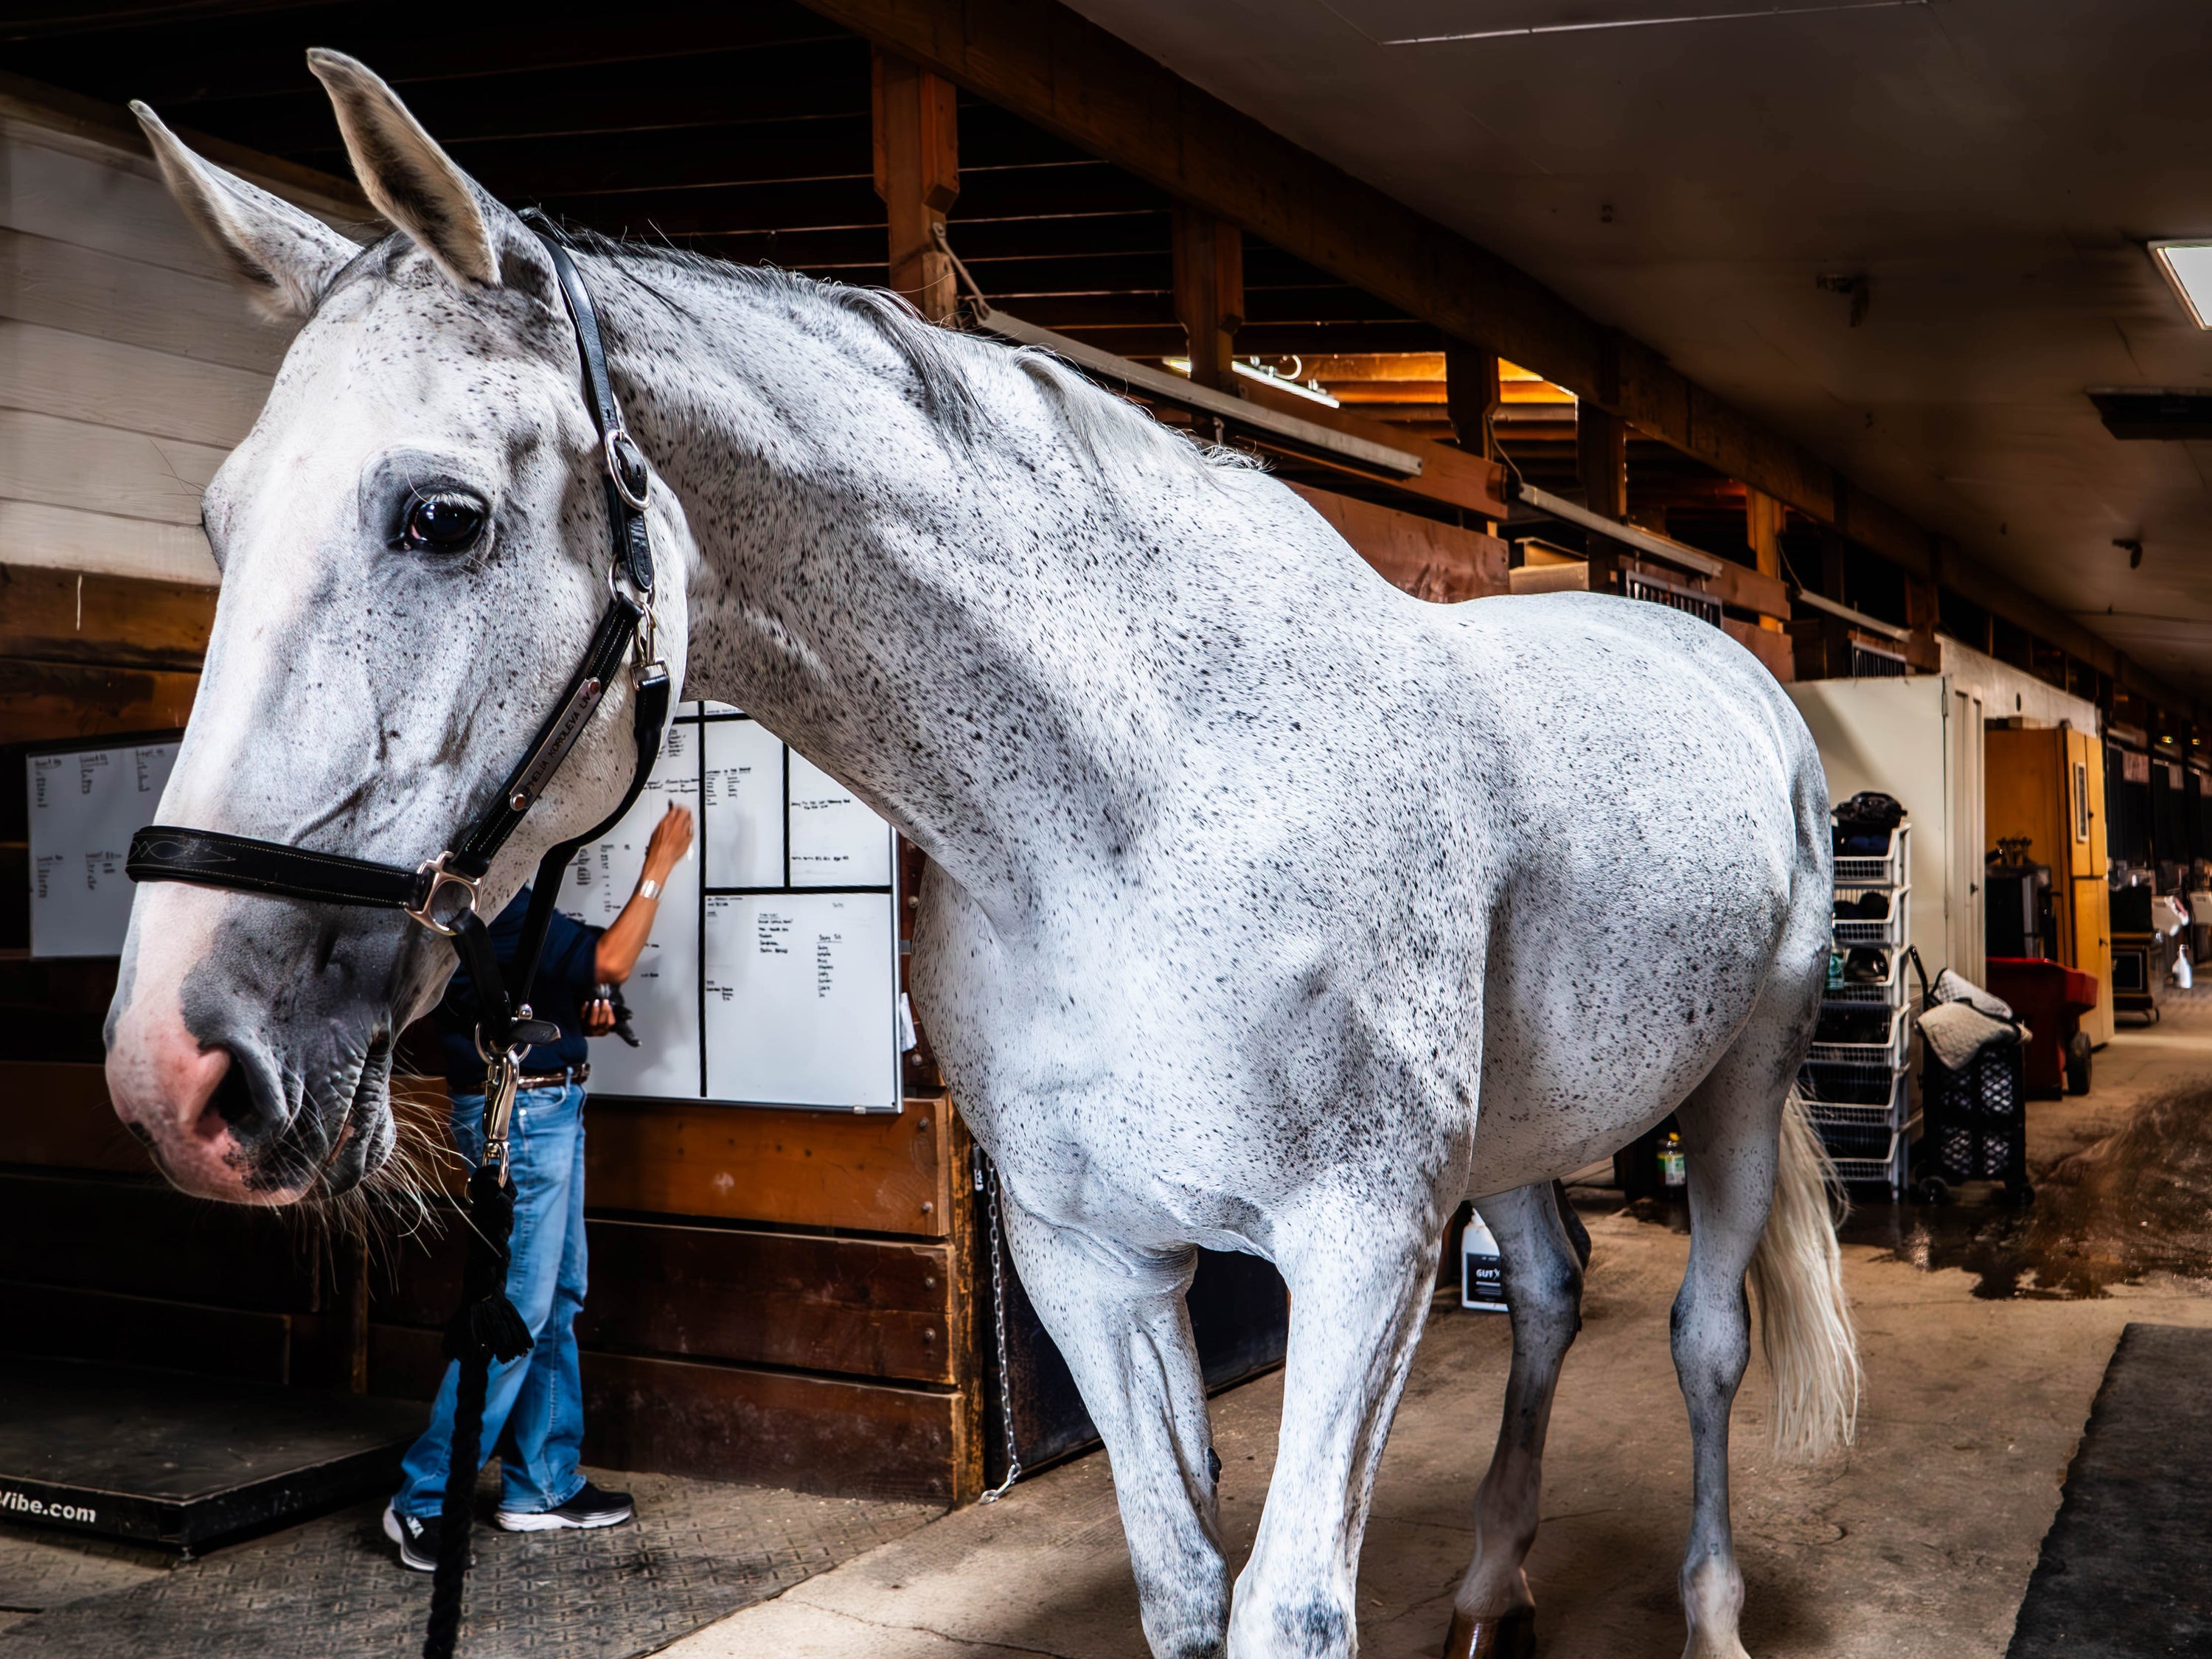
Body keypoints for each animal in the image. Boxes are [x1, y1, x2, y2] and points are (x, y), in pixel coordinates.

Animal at [107, 53, 1857, 1659]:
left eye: (441, 516)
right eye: (216, 522)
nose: (175, 1072)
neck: (1133, 808)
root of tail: (1715, 656)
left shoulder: (1362, 1251)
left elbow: (1290, 1609)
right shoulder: (1095, 1263)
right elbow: (1183, 1583)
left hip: (1742, 1077)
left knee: (1703, 1339)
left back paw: (1708, 1612)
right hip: (1520, 1139)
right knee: (1554, 1295)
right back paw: (1493, 1591)